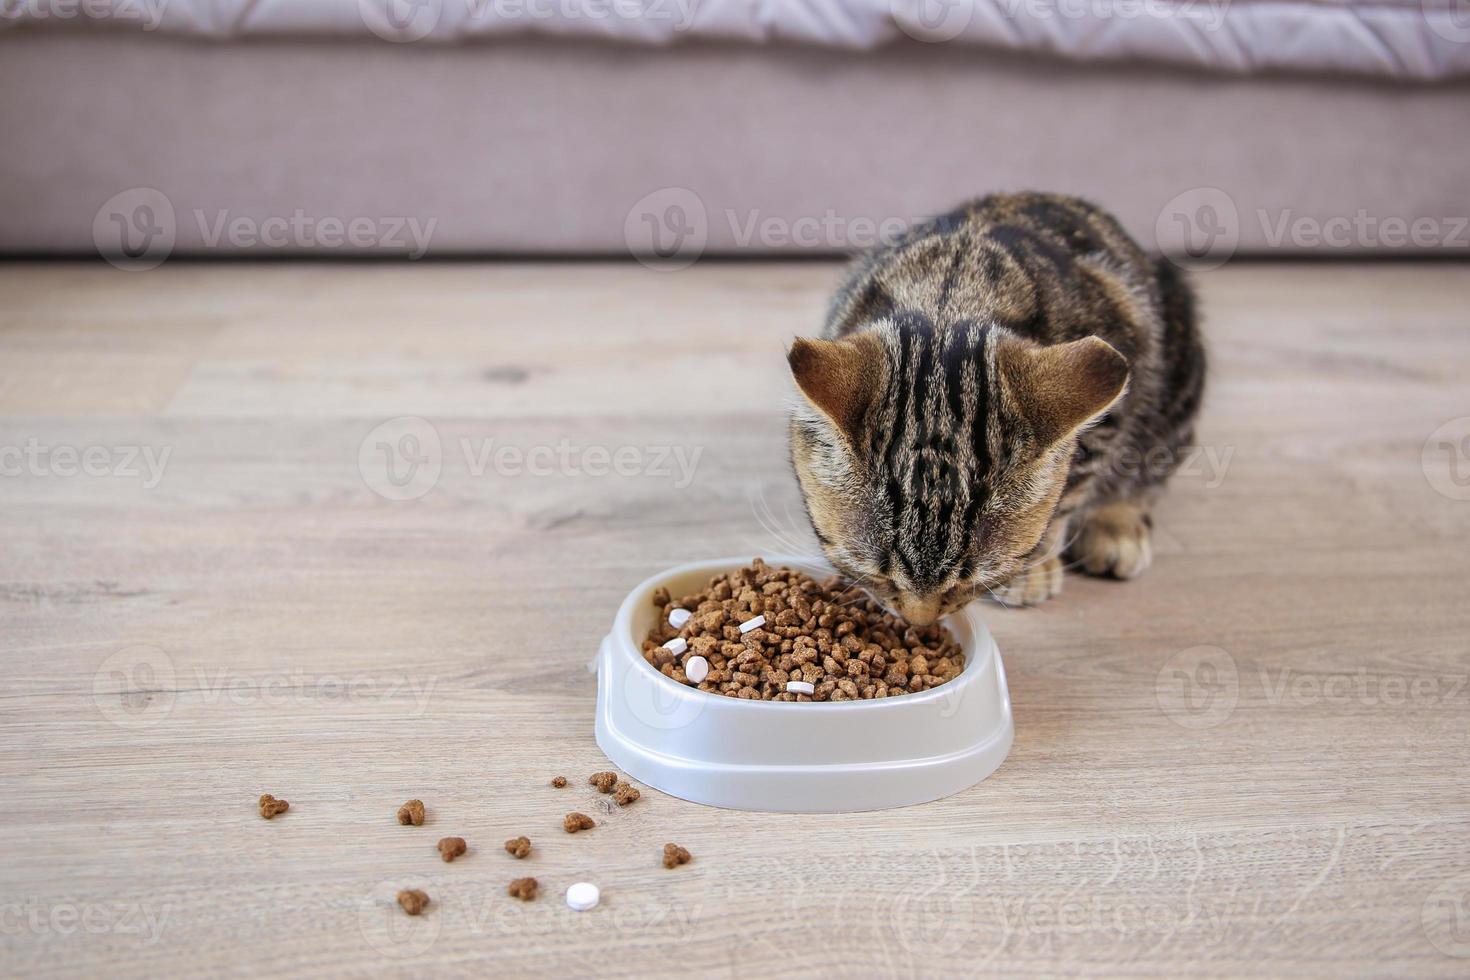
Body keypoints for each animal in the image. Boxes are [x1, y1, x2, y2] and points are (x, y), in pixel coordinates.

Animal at [793, 191, 1205, 620]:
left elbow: (1068, 489)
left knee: (1150, 465)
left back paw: (1116, 525)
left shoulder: (1115, 396)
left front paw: (1031, 566)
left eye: (966, 580)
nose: (920, 621)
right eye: (879, 575)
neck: (954, 294)